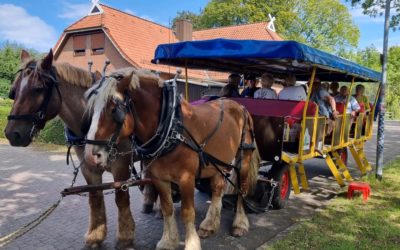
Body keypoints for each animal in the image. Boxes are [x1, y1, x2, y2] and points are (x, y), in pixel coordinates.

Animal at [3, 49, 139, 249]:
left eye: (38, 88)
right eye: (14, 92)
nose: (12, 134)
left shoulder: (121, 165)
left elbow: (121, 199)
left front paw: (125, 237)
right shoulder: (89, 168)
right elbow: (95, 198)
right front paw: (95, 236)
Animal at [85, 68, 260, 250]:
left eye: (114, 110)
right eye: (91, 110)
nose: (91, 155)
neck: (171, 126)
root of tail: (239, 106)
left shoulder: (186, 178)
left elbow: (188, 212)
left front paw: (191, 244)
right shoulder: (159, 178)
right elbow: (167, 208)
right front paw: (169, 241)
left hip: (243, 159)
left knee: (242, 189)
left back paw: (239, 223)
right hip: (218, 162)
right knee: (217, 188)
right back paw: (209, 225)